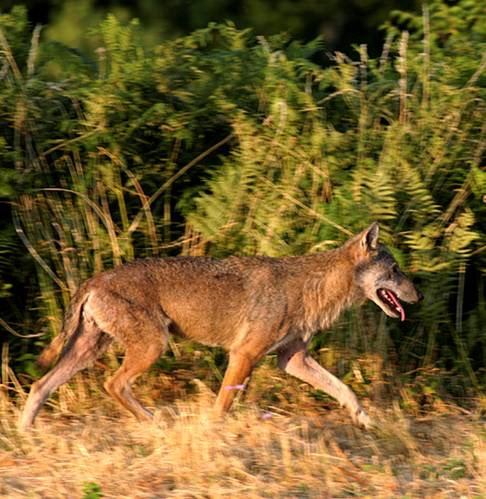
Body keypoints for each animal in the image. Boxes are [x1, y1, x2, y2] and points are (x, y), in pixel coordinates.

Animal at [19, 223, 422, 430]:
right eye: (396, 269)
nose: (418, 294)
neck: (312, 288)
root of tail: (95, 279)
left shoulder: (291, 360)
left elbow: (345, 390)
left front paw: (364, 420)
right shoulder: (244, 355)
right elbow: (222, 405)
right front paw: (213, 435)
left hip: (91, 350)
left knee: (40, 385)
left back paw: (26, 433)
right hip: (151, 347)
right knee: (112, 384)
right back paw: (154, 421)